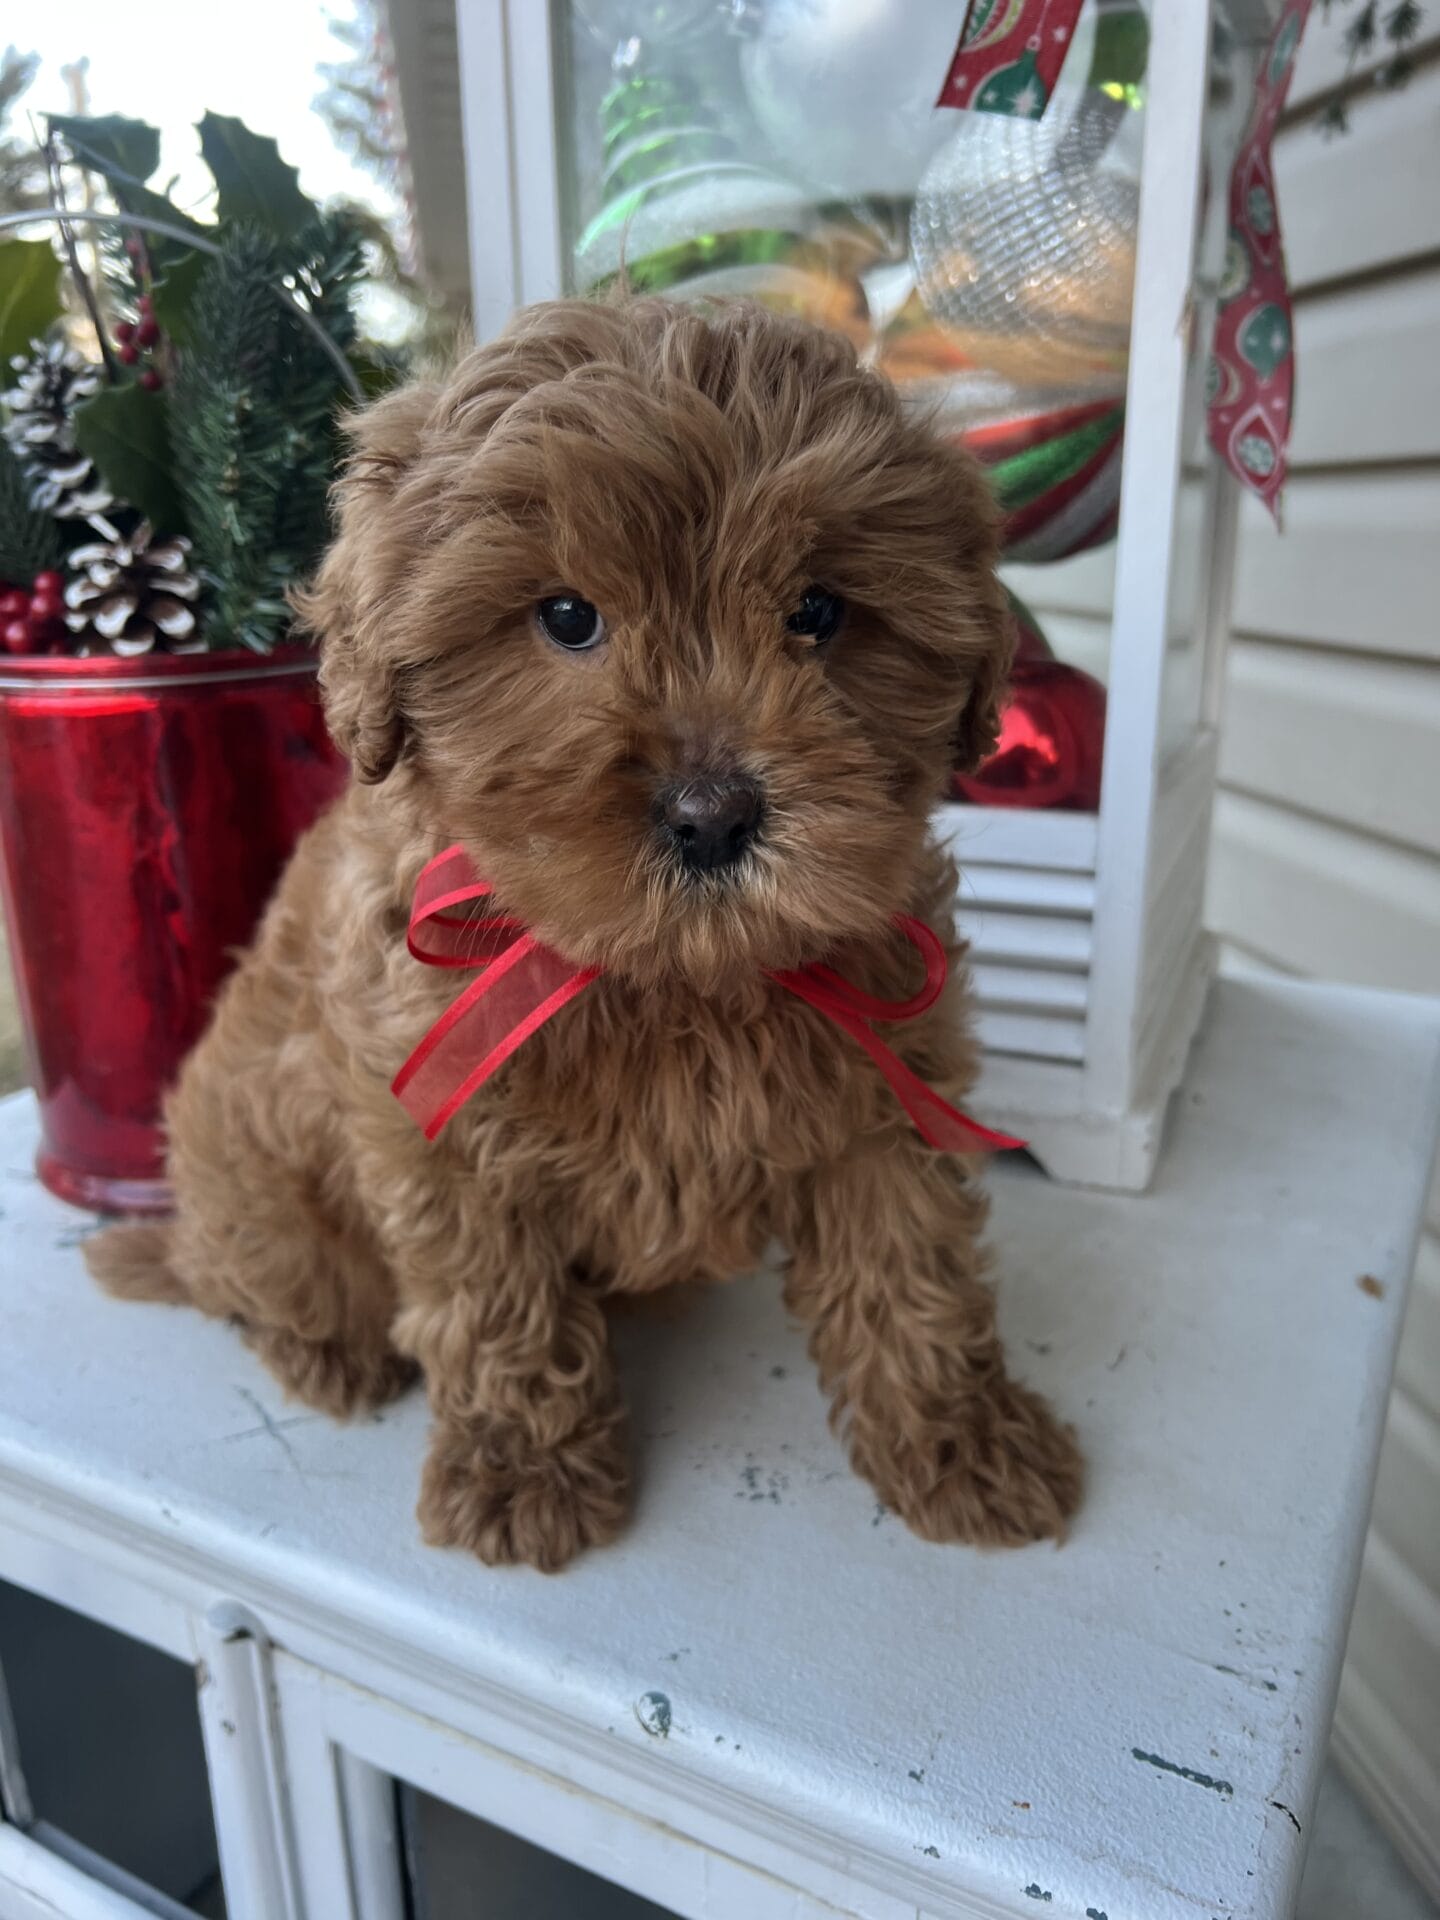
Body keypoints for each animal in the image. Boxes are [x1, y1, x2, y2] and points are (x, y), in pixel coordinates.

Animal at [87, 297, 1082, 1572]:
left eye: (818, 611)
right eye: (567, 617)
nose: (712, 816)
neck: (675, 980)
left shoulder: (885, 1091)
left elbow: (916, 1266)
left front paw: (964, 1444)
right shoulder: (440, 1126)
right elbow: (493, 1305)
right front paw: (525, 1477)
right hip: (258, 1187)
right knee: (256, 1286)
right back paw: (330, 1356)